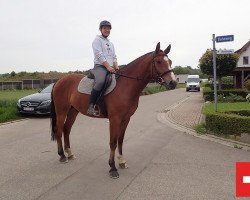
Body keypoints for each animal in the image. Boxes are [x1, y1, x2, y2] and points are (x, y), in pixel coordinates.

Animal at [49, 41, 177, 178]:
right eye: (158, 61)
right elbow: (113, 142)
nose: (173, 83)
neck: (125, 86)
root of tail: (59, 81)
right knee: (59, 130)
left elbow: (120, 140)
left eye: (170, 61)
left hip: (73, 111)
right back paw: (62, 156)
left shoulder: (126, 119)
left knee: (66, 130)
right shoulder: (115, 119)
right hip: (61, 111)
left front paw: (122, 162)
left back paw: (70, 153)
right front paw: (112, 168)